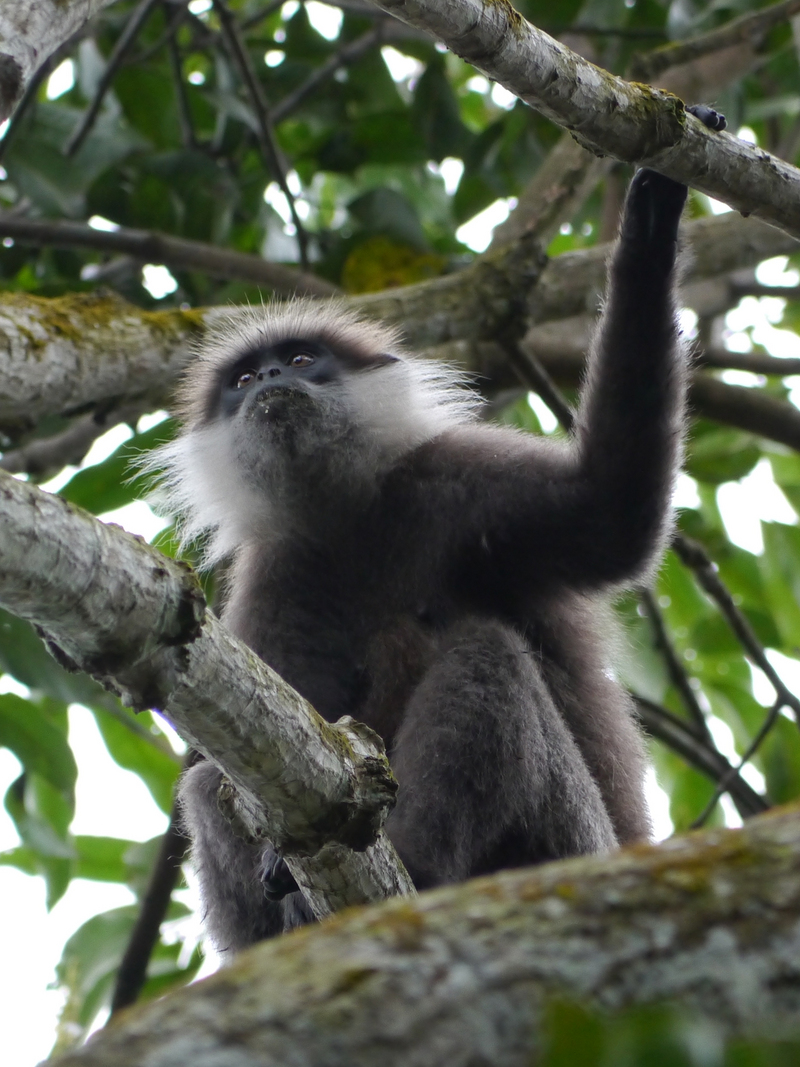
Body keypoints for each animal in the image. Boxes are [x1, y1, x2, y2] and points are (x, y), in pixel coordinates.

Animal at [156, 110, 725, 960]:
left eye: (301, 359)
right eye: (246, 380)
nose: (273, 384)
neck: (352, 518)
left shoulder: (455, 484)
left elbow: (613, 510)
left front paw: (652, 218)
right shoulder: (280, 577)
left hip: (570, 846)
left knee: (490, 655)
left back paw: (416, 865)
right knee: (206, 782)